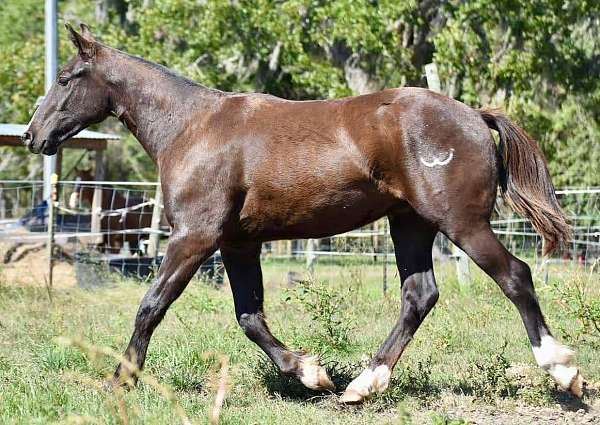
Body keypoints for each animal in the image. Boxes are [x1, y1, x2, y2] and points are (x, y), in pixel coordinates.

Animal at [22, 24, 580, 402]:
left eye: (67, 78)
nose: (32, 135)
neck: (191, 128)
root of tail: (475, 115)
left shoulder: (193, 238)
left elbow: (151, 305)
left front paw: (120, 380)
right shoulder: (237, 243)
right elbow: (249, 318)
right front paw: (312, 373)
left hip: (461, 223)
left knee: (515, 276)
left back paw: (563, 371)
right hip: (411, 225)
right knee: (419, 296)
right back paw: (363, 384)